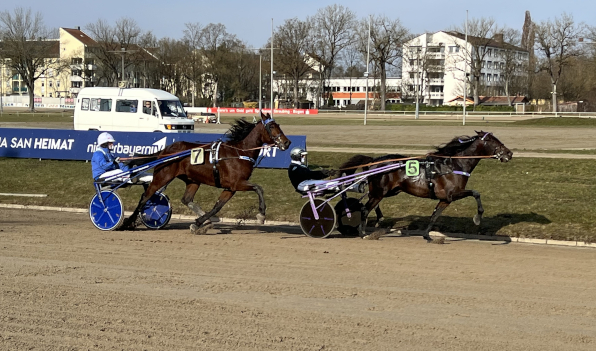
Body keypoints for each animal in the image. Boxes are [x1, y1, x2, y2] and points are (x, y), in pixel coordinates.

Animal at [122, 113, 290, 234]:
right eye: (272, 126)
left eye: (278, 125)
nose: (287, 142)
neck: (239, 152)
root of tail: (165, 151)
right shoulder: (237, 183)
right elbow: (258, 188)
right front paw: (261, 214)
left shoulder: (230, 188)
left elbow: (217, 206)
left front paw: (199, 223)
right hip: (163, 176)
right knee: (145, 197)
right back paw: (127, 223)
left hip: (192, 180)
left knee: (186, 199)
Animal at [340, 132, 512, 242]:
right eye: (493, 141)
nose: (509, 153)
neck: (453, 165)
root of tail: (374, 161)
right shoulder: (453, 193)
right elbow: (476, 193)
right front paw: (477, 218)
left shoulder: (445, 199)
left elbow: (434, 216)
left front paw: (427, 236)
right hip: (379, 192)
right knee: (364, 208)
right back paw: (363, 233)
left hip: (389, 191)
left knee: (370, 203)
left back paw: (378, 219)